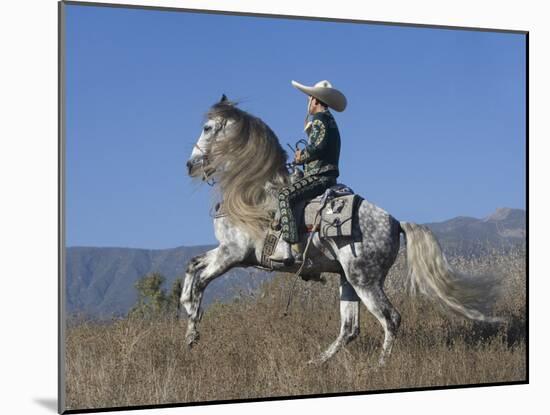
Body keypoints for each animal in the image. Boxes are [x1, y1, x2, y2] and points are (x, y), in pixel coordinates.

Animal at [179, 96, 502, 366]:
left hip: (364, 280)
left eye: (207, 127)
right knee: (350, 328)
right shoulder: (227, 252)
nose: (190, 164)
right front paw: (189, 325)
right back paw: (315, 363)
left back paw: (378, 366)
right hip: (347, 280)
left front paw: (193, 323)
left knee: (390, 319)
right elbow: (193, 267)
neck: (252, 193)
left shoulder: (234, 253)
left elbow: (201, 282)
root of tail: (396, 223)